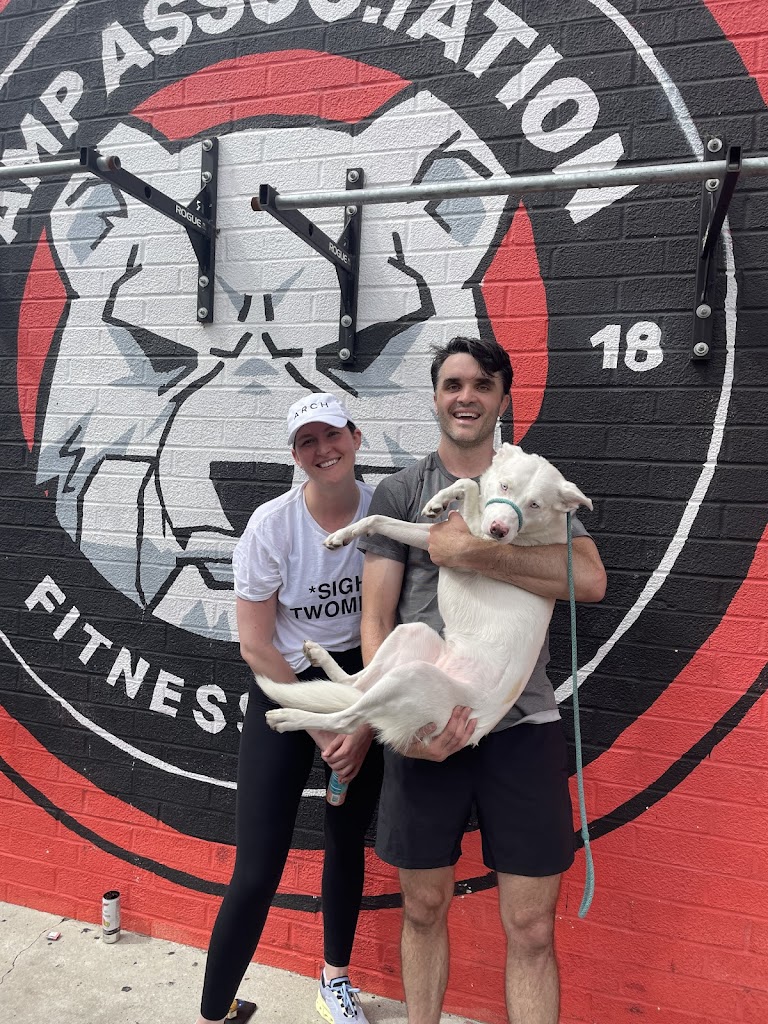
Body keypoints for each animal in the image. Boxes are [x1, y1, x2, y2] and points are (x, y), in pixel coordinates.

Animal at [257, 444, 592, 753]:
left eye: (535, 504)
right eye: (505, 486)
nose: (498, 531)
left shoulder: (468, 547)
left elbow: (469, 485)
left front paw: (443, 498)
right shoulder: (436, 539)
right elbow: (380, 518)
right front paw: (345, 534)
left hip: (412, 676)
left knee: (347, 720)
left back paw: (289, 718)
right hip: (411, 635)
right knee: (355, 684)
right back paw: (318, 656)